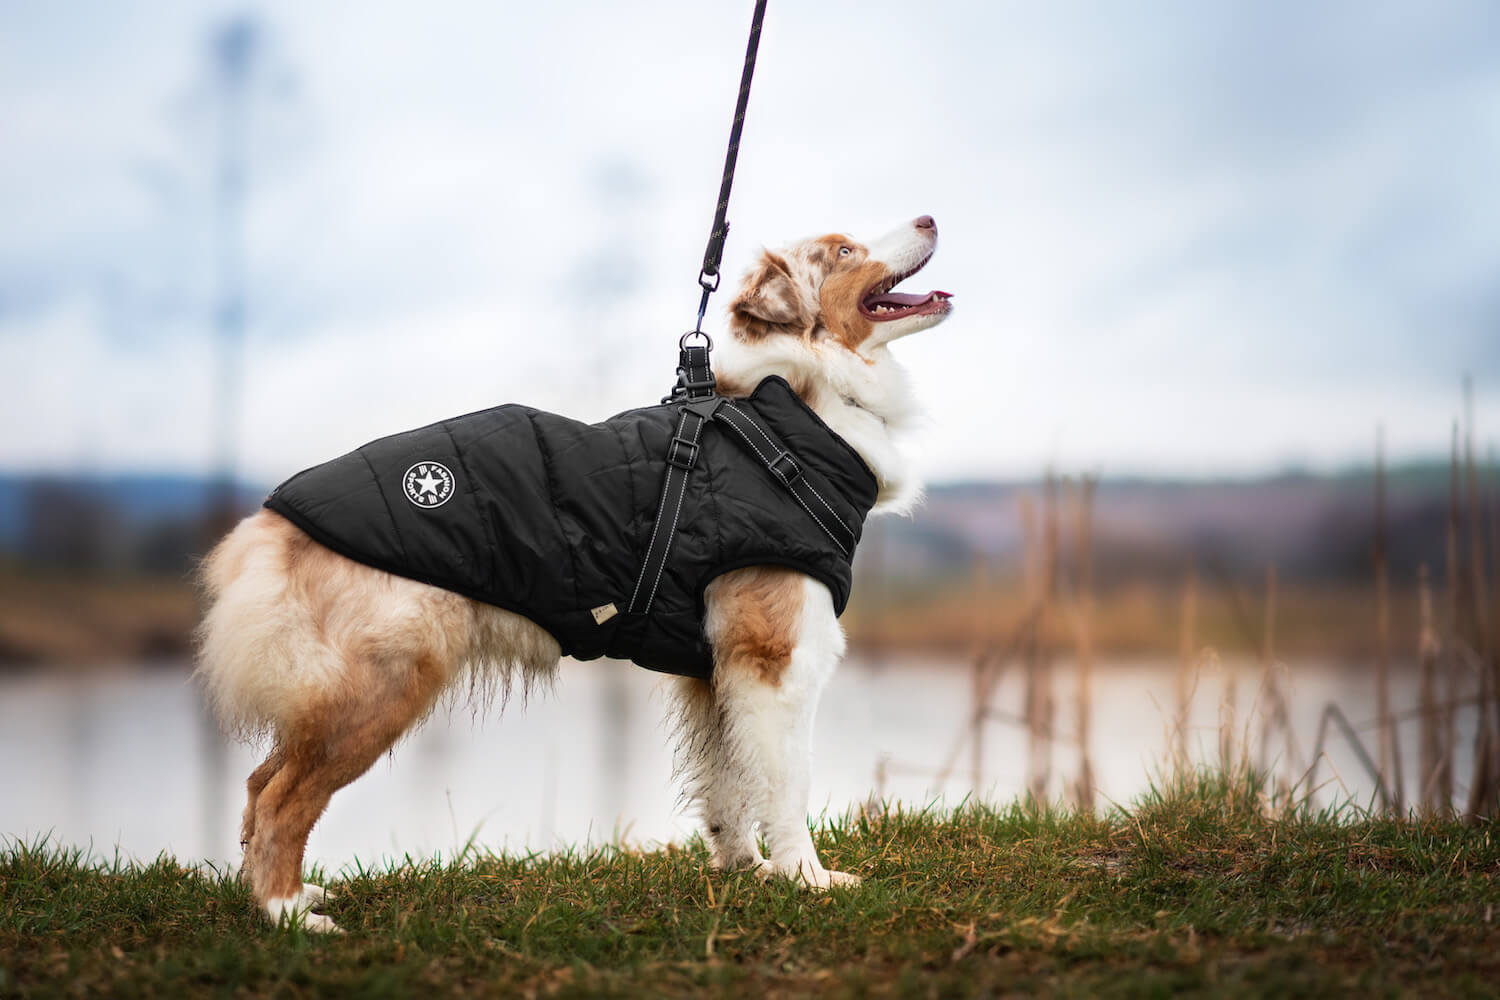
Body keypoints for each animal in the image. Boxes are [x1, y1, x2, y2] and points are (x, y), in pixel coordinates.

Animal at [196, 215, 948, 935]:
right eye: (844, 250)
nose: (930, 217)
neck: (794, 411)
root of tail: (269, 522)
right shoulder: (776, 660)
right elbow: (786, 783)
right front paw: (806, 879)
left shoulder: (716, 670)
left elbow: (727, 782)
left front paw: (743, 869)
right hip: (383, 683)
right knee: (282, 797)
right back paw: (289, 915)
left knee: (259, 782)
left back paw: (280, 895)